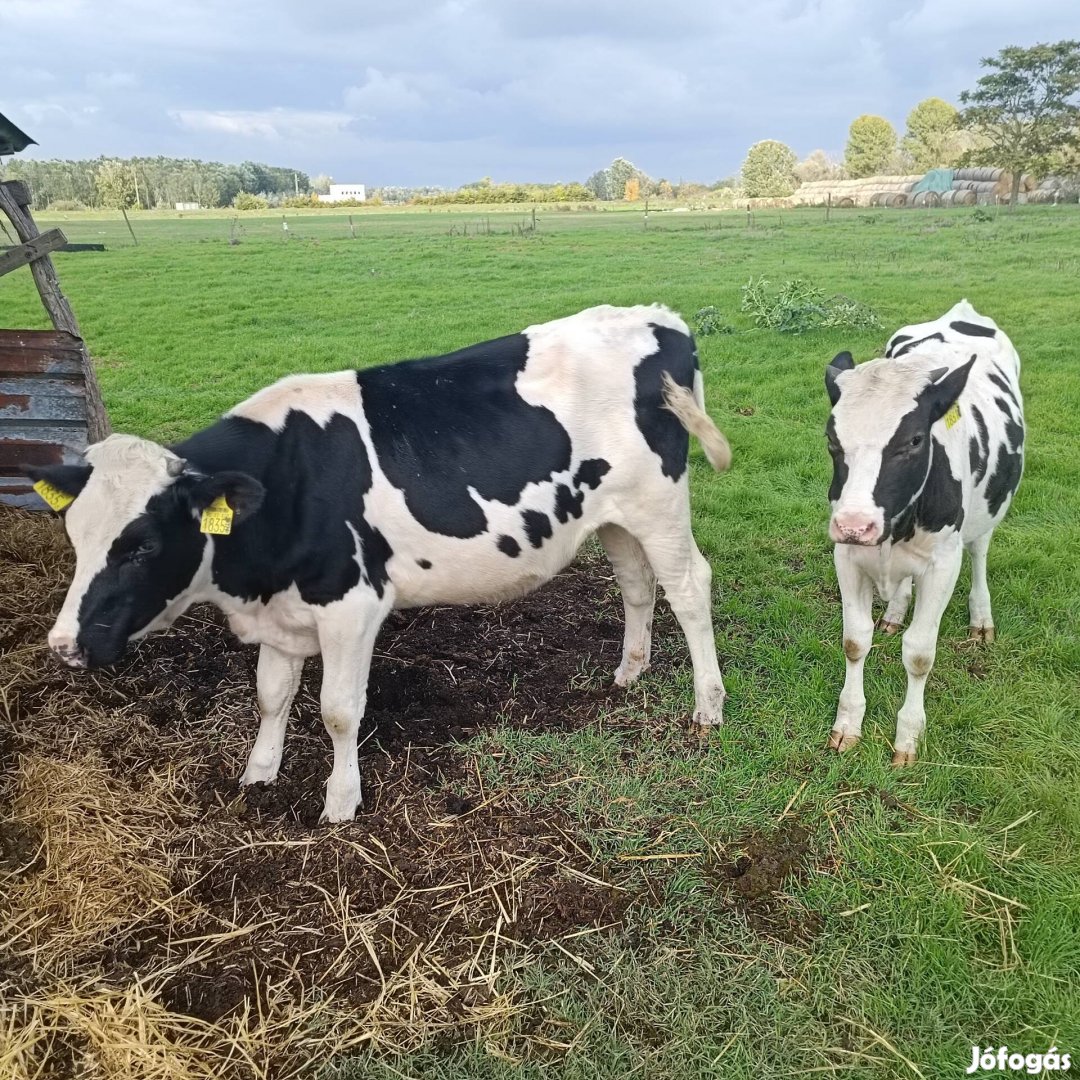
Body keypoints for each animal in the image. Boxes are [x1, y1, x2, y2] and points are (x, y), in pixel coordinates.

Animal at [27, 304, 734, 816]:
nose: (64, 644)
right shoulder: (281, 608)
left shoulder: (351, 603)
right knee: (637, 583)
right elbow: (271, 696)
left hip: (659, 503)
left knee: (688, 586)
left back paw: (708, 706)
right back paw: (629, 672)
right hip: (613, 515)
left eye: (142, 544)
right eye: (75, 535)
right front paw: (259, 773)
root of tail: (659, 317)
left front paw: (341, 802)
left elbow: (338, 709)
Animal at [825, 300, 1019, 764]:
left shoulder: (942, 564)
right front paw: (848, 723)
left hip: (987, 511)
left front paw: (908, 736)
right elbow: (855, 641)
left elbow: (918, 654)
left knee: (980, 552)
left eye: (914, 440)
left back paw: (981, 618)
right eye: (832, 440)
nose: (854, 524)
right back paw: (895, 611)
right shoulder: (848, 555)